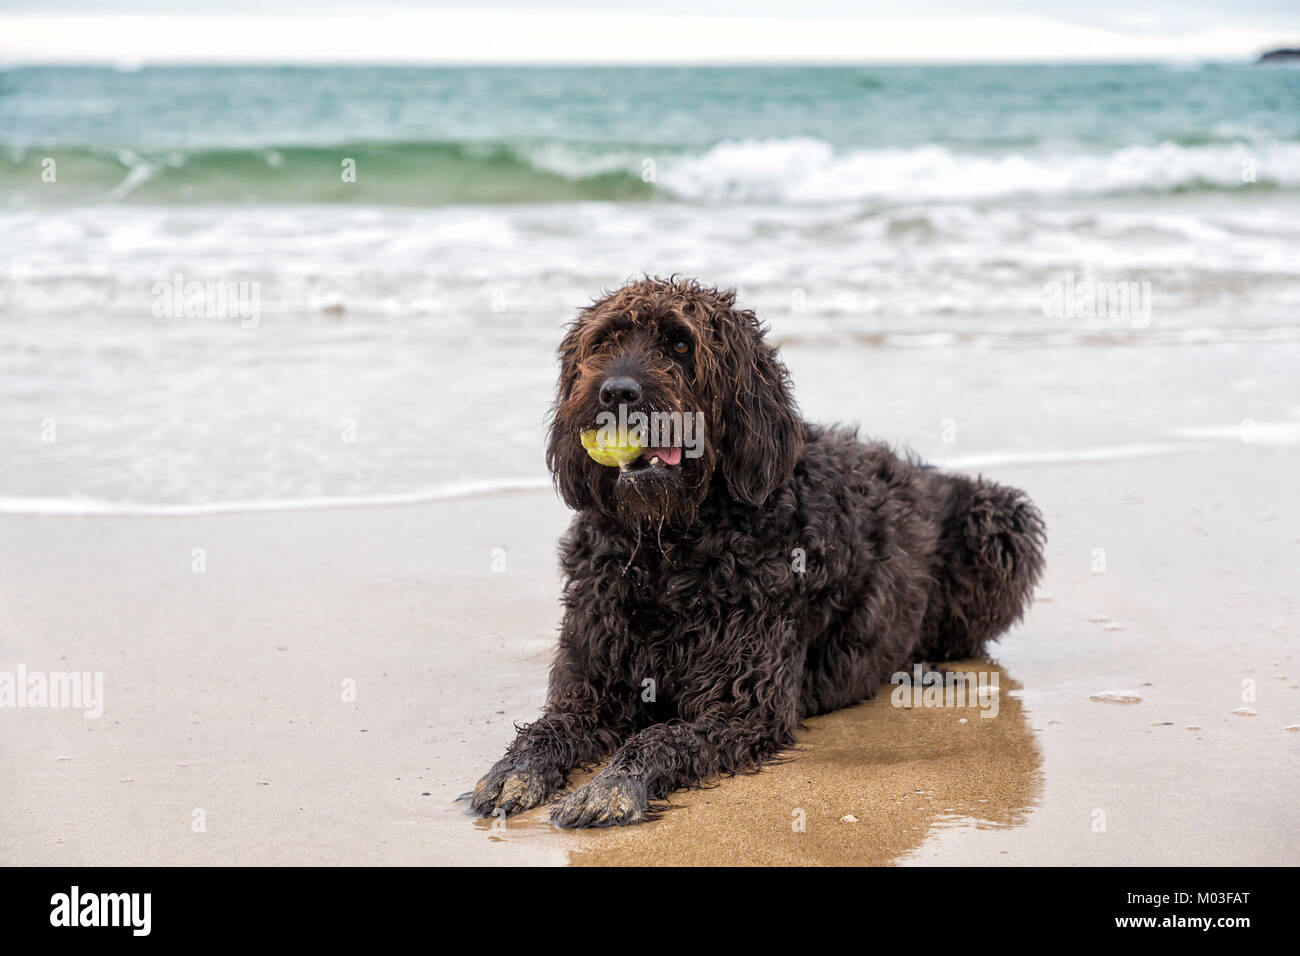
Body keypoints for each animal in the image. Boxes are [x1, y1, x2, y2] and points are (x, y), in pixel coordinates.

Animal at [470, 278, 1045, 832]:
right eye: (604, 342)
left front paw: (612, 785)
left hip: (1000, 519)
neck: (666, 550)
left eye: (680, 345)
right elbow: (551, 727)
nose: (616, 391)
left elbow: (659, 737)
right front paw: (515, 770)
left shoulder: (743, 707)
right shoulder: (593, 685)